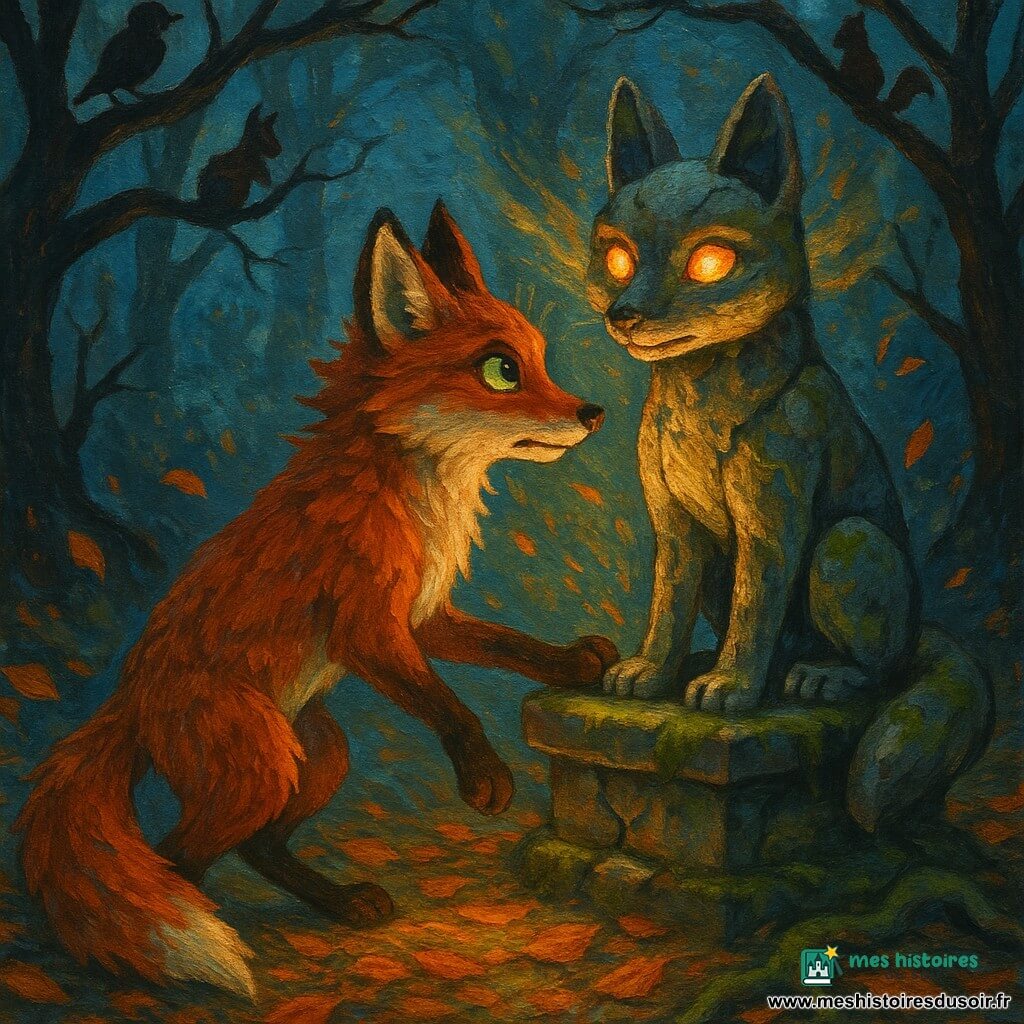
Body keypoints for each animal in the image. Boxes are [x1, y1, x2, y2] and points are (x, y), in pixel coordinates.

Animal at [16, 201, 618, 999]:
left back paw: (340, 905)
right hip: (263, 761)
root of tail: (130, 700)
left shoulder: (424, 616)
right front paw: (484, 776)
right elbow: (448, 704)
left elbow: (508, 646)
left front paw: (574, 663)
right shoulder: (368, 627)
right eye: (500, 370)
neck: (415, 495)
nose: (593, 413)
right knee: (174, 860)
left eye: (540, 360)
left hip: (318, 752)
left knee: (254, 848)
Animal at [586, 74, 991, 833]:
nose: (625, 315)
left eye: (710, 262)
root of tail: (922, 625)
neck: (698, 398)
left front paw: (731, 687)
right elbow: (667, 606)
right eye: (618, 257)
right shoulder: (676, 530)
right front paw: (653, 673)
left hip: (847, 545)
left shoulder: (773, 523)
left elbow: (757, 609)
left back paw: (821, 676)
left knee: (881, 666)